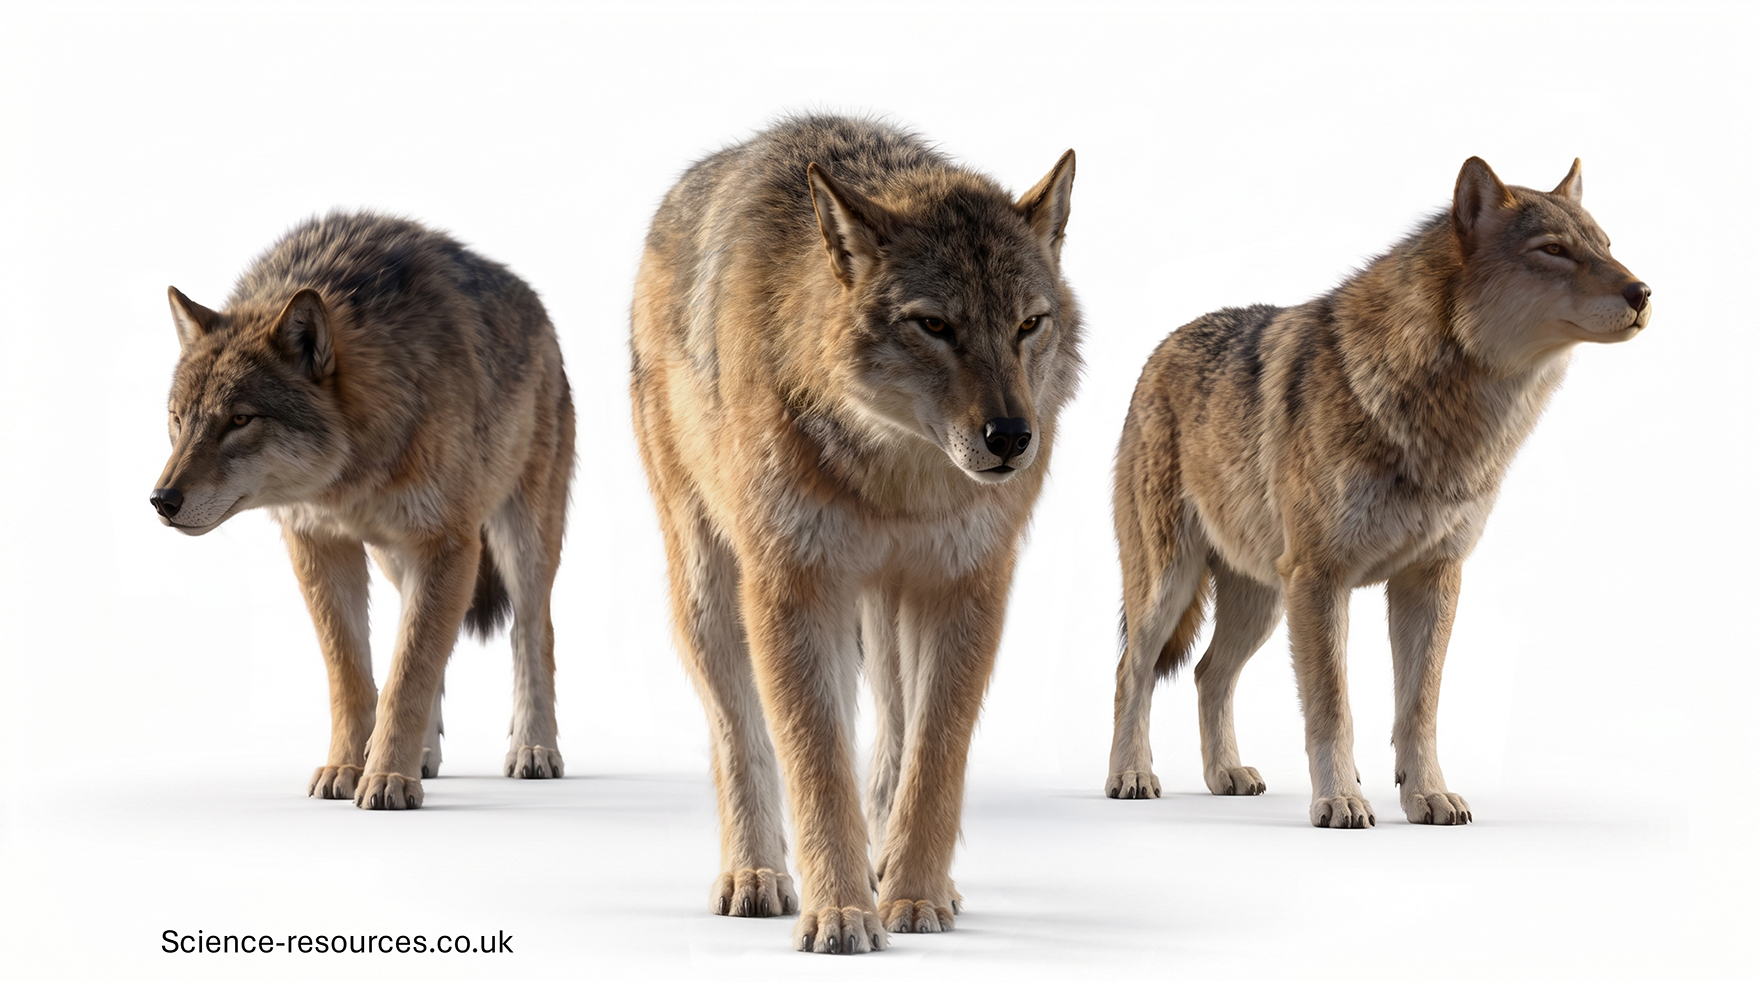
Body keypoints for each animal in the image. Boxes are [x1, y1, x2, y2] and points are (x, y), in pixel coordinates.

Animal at [151, 212, 575, 809]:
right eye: (178, 418)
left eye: (239, 419)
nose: (161, 500)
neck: (351, 476)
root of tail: (539, 308)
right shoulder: (321, 546)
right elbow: (358, 675)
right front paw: (350, 767)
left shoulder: (448, 543)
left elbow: (407, 674)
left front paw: (389, 778)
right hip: (398, 559)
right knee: (423, 642)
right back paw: (422, 756)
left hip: (520, 546)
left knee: (531, 634)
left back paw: (533, 750)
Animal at [630, 116, 1080, 953]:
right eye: (935, 325)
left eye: (1028, 325)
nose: (1012, 437)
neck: (897, 487)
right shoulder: (792, 591)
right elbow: (815, 766)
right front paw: (838, 914)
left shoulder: (966, 589)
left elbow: (934, 761)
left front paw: (913, 895)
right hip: (714, 595)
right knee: (740, 737)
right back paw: (756, 874)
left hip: (889, 609)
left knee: (895, 739)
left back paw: (909, 876)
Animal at [1106, 158, 1650, 828]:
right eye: (1554, 250)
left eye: (1606, 246)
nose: (1643, 293)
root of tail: (1160, 349)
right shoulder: (1321, 580)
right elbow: (1332, 709)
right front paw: (1340, 799)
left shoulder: (1431, 578)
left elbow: (1419, 709)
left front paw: (1428, 796)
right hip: (1173, 586)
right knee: (1132, 671)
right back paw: (1131, 775)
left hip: (1264, 602)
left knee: (1209, 674)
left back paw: (1224, 774)